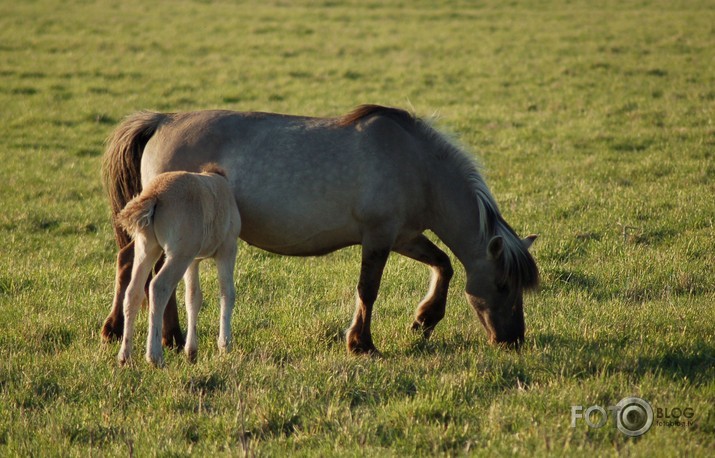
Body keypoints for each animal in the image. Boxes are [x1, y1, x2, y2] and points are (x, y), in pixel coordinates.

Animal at [115, 163, 241, 366]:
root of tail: (154, 194)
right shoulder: (227, 249)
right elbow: (227, 293)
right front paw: (224, 346)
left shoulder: (193, 260)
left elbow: (193, 298)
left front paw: (191, 352)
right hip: (178, 255)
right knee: (158, 287)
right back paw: (154, 356)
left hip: (147, 248)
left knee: (133, 291)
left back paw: (125, 356)